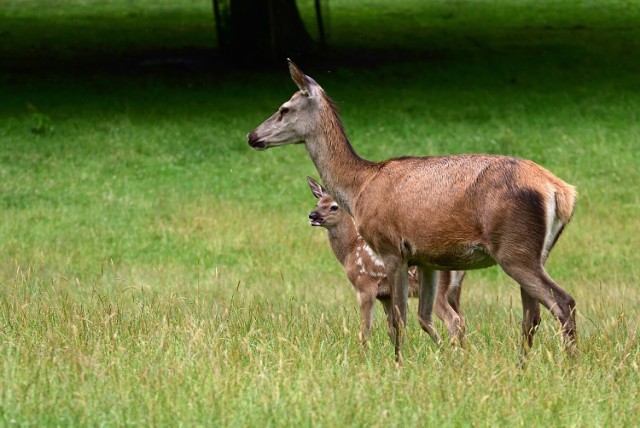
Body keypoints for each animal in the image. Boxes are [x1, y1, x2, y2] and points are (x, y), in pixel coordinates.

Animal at [308, 176, 464, 346]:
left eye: (334, 207)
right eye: (317, 203)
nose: (312, 215)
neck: (350, 251)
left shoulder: (365, 286)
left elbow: (365, 330)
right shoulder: (385, 295)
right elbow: (392, 329)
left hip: (439, 290)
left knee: (453, 319)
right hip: (454, 290)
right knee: (462, 319)